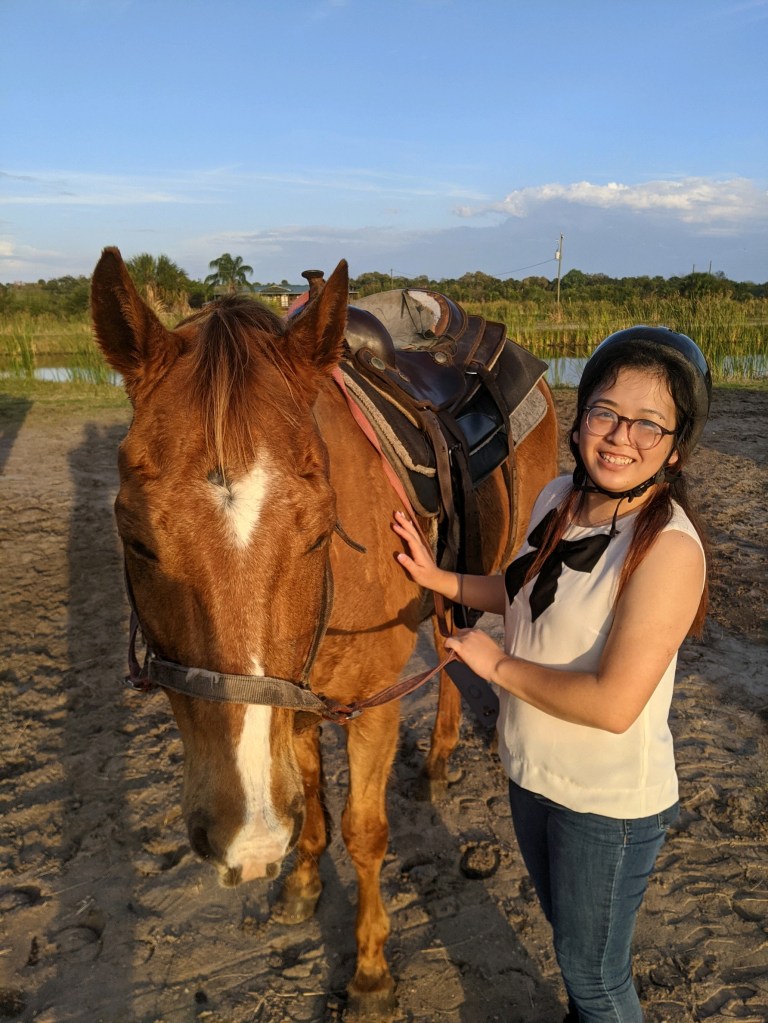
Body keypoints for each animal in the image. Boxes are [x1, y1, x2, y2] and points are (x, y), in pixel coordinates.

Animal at [91, 247, 558, 1018]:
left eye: (319, 530)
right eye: (135, 538)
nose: (244, 836)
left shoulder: (371, 703)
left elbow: (365, 833)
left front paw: (370, 973)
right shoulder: (296, 703)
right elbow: (310, 795)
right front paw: (302, 883)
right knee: (449, 646)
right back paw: (436, 761)